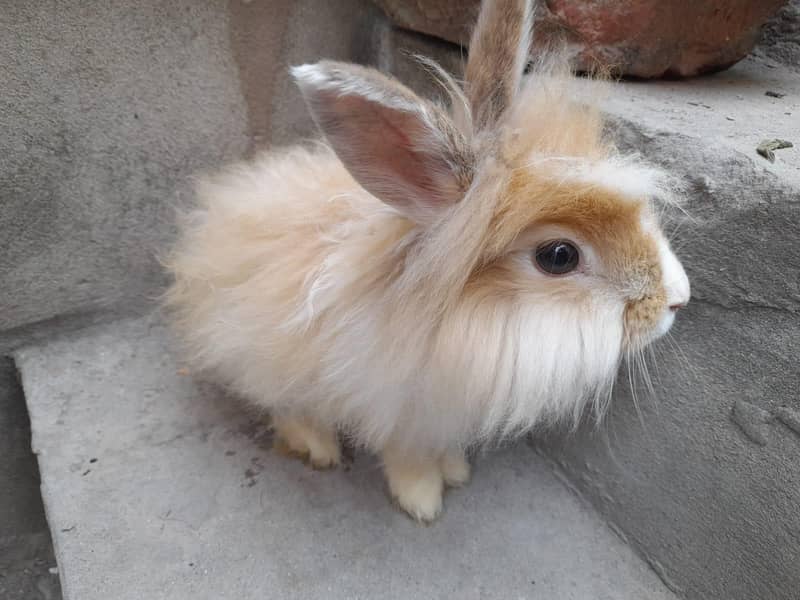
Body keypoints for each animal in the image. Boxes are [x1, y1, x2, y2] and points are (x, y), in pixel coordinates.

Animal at [164, 0, 690, 522]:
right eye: (558, 256)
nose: (677, 299)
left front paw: (454, 469)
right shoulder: (402, 410)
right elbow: (409, 457)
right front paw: (423, 500)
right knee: (283, 403)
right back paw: (318, 447)